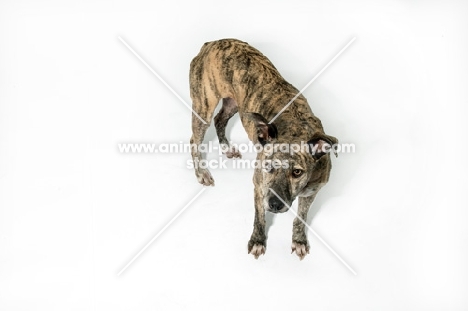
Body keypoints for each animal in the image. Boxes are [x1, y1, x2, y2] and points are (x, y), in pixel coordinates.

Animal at [188, 39, 338, 260]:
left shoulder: (311, 193)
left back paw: (227, 148)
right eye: (268, 167)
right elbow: (259, 216)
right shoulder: (259, 186)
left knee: (220, 120)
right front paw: (258, 241)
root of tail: (211, 43)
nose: (275, 205)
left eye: (297, 172)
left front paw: (299, 240)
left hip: (236, 104)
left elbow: (300, 218)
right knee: (195, 140)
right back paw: (202, 173)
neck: (296, 129)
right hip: (203, 105)